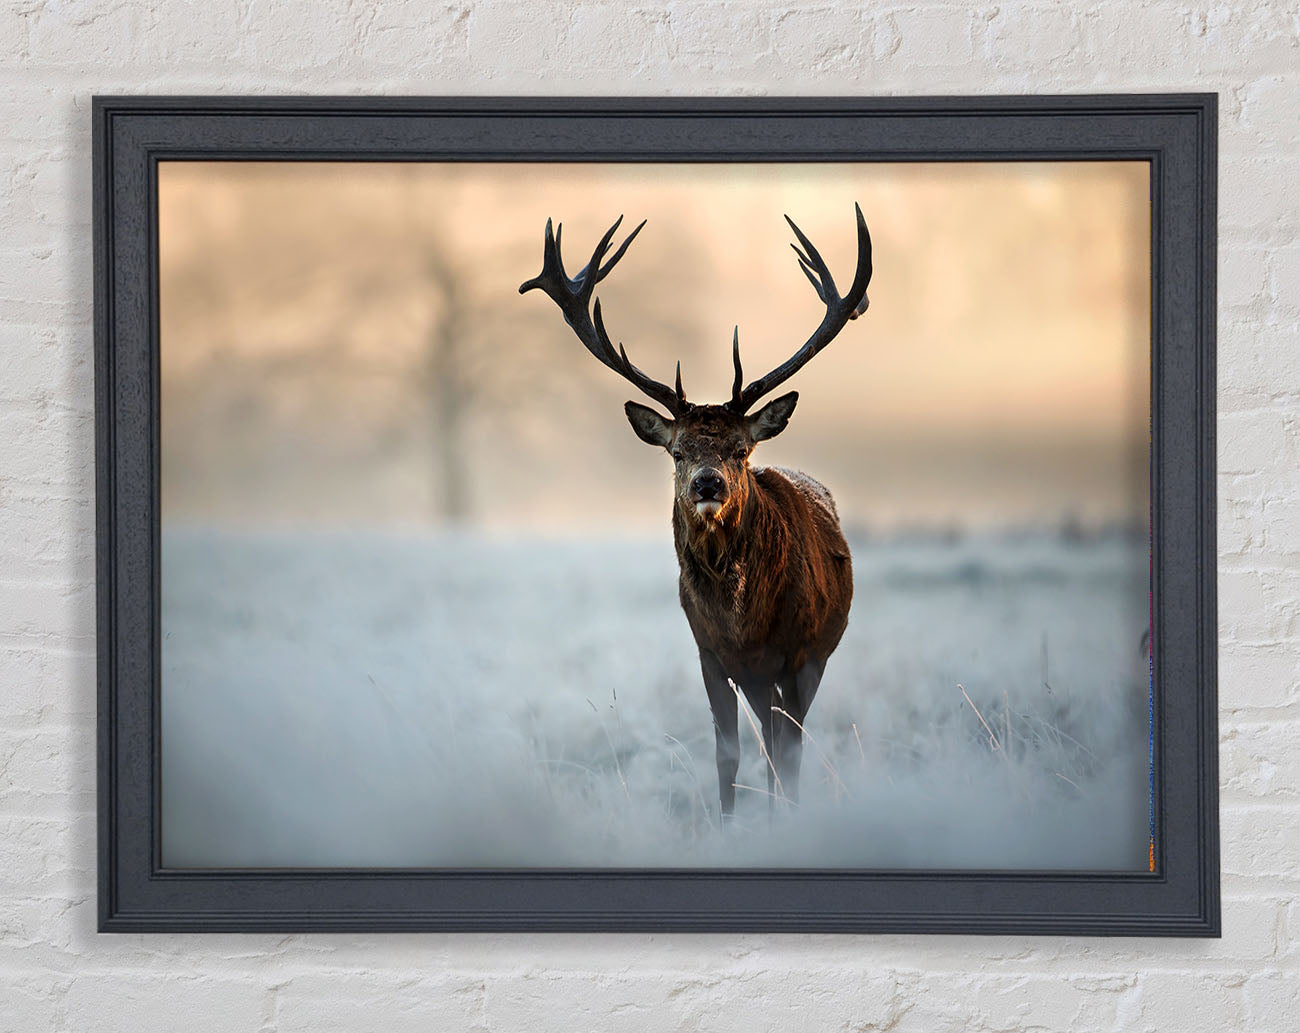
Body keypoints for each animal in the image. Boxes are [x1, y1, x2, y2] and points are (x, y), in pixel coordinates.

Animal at [520, 205, 872, 818]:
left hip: (813, 656)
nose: (709, 483)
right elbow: (728, 753)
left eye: (740, 449)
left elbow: (789, 751)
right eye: (678, 451)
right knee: (768, 738)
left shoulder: (800, 653)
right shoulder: (709, 652)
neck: (744, 624)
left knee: (784, 743)